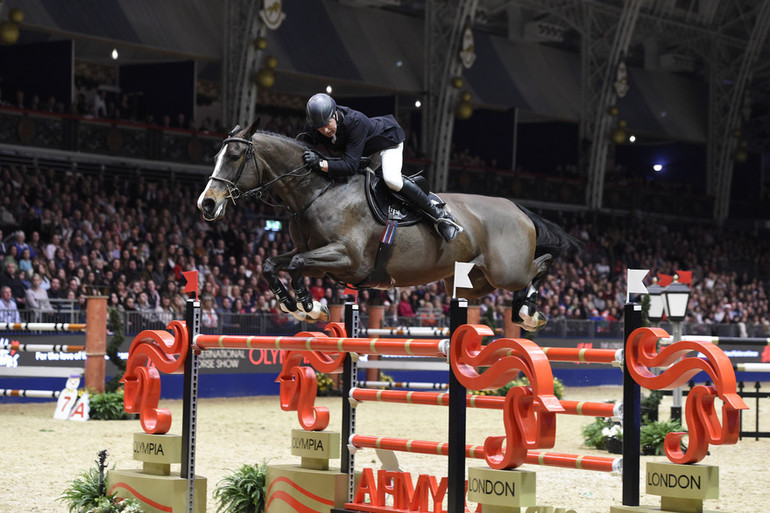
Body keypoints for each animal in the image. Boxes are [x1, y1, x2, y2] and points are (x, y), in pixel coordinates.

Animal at [196, 124, 576, 332]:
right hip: (475, 282)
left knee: (540, 266)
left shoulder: (347, 259)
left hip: (505, 270)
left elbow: (296, 265)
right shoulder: (313, 254)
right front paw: (297, 305)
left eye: (233, 157)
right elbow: (272, 264)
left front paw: (308, 306)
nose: (207, 204)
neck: (317, 192)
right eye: (216, 156)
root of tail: (516, 207)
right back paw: (524, 309)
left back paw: (529, 313)